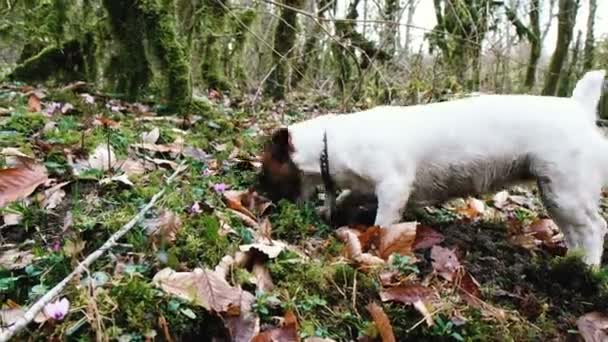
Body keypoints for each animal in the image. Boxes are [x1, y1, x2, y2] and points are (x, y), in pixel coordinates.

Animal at [255, 69, 608, 268]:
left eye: (264, 170)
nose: (258, 198)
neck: (327, 146)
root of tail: (579, 108)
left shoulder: (394, 187)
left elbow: (383, 223)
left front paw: (376, 243)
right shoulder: (365, 186)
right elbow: (346, 197)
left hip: (566, 192)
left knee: (594, 228)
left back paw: (588, 271)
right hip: (554, 194)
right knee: (575, 232)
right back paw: (572, 263)